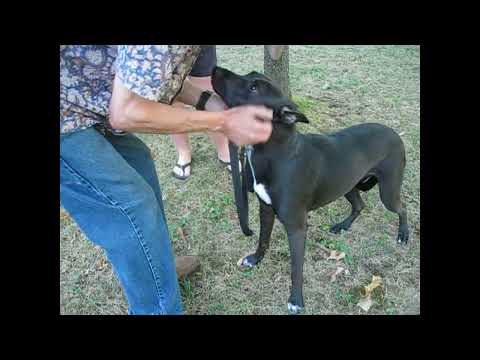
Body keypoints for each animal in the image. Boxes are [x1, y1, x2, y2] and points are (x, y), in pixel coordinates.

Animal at [212, 66, 410, 314]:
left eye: (254, 88)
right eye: (250, 75)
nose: (214, 70)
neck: (276, 152)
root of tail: (394, 134)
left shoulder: (297, 227)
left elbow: (296, 268)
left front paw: (296, 300)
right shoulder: (265, 209)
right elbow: (263, 240)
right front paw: (255, 259)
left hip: (388, 192)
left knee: (402, 208)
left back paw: (403, 235)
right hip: (347, 185)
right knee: (359, 204)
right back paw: (343, 226)